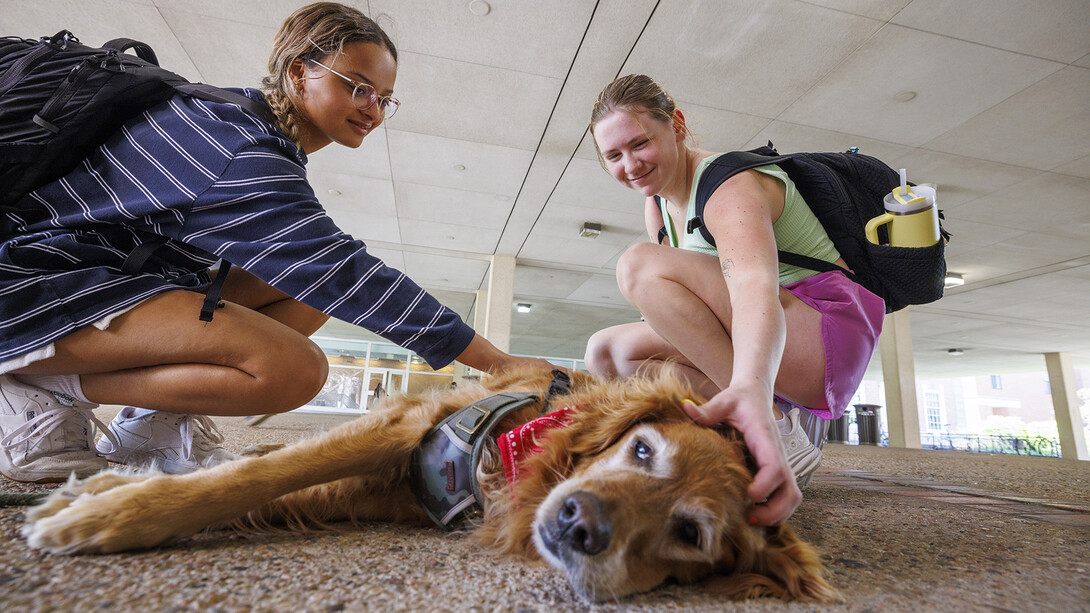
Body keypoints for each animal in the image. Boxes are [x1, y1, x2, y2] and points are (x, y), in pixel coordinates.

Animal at [21, 364, 837, 597]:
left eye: (689, 533)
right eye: (641, 451)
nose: (582, 524)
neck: (504, 466)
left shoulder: (379, 489)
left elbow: (269, 490)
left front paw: (109, 501)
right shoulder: (401, 428)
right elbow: (254, 473)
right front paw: (106, 512)